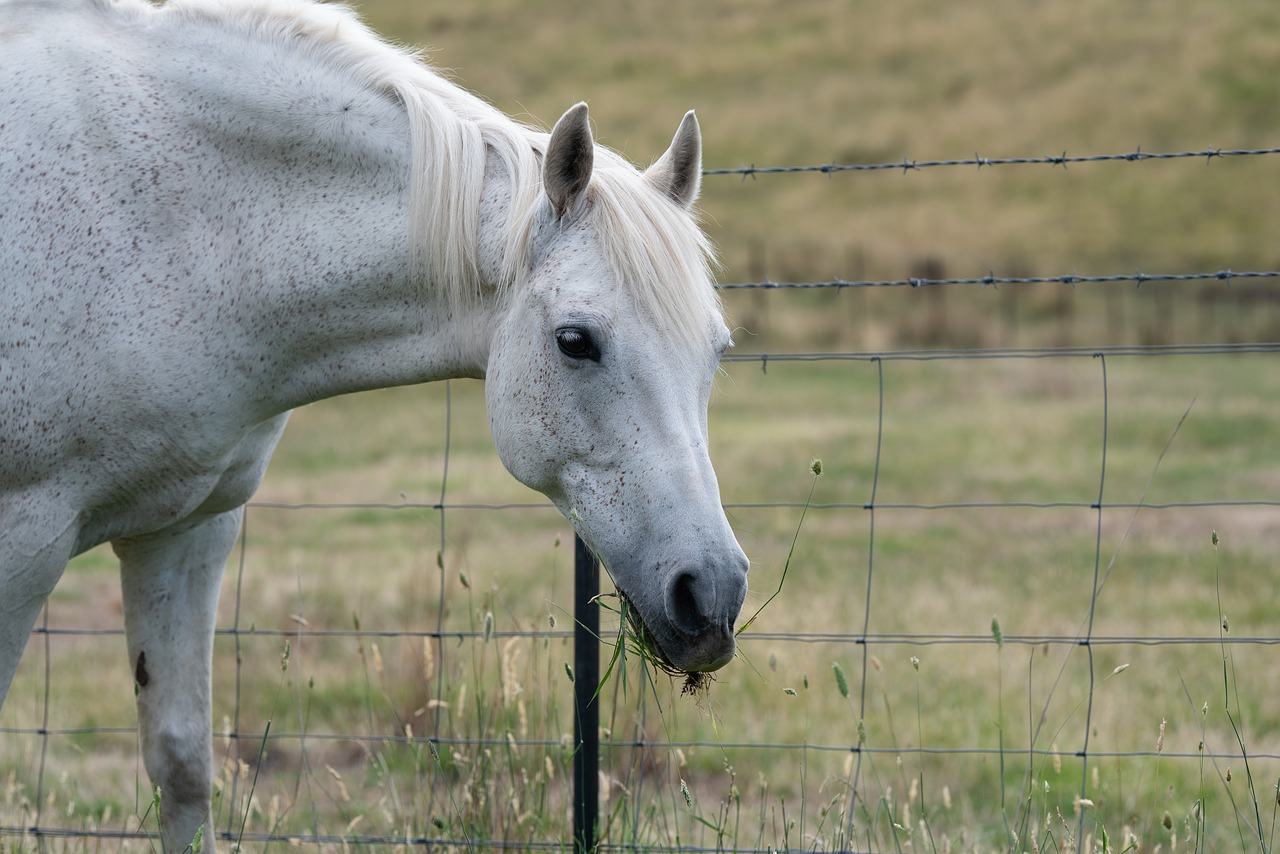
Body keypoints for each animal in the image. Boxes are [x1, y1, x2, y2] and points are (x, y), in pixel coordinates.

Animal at [2, 1, 747, 850]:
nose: (712, 596)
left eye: (717, 350)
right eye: (575, 341)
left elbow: (182, 764)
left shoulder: (186, 531)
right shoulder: (22, 540)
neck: (175, 223)